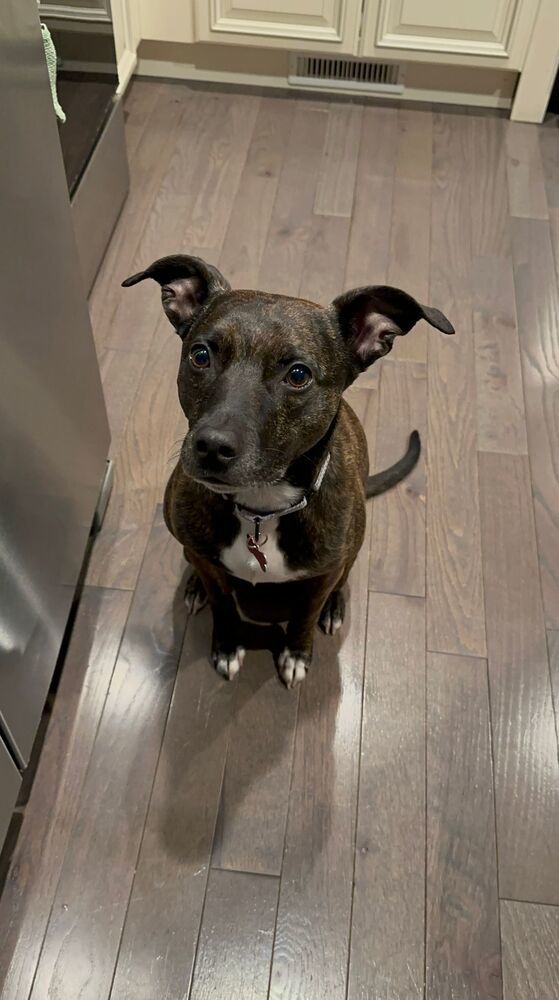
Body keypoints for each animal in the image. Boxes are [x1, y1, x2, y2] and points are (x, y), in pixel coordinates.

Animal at [123, 254, 456, 688]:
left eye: (298, 375)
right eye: (200, 355)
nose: (211, 446)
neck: (261, 509)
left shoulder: (319, 578)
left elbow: (304, 615)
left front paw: (296, 653)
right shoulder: (211, 565)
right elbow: (223, 603)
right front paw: (227, 644)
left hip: (351, 549)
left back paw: (334, 608)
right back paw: (194, 587)